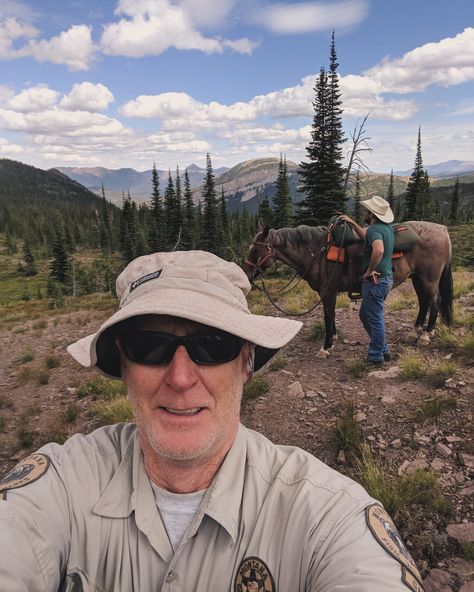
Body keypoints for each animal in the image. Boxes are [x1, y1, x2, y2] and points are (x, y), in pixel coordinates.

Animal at [243, 220, 454, 354]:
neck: (316, 252)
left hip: (428, 279)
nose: (246, 272)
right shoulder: (328, 293)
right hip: (417, 278)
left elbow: (328, 317)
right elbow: (330, 316)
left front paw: (326, 347)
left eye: (255, 250)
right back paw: (414, 332)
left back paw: (426, 335)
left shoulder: (328, 292)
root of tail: (443, 230)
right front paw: (334, 338)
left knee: (435, 301)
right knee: (424, 302)